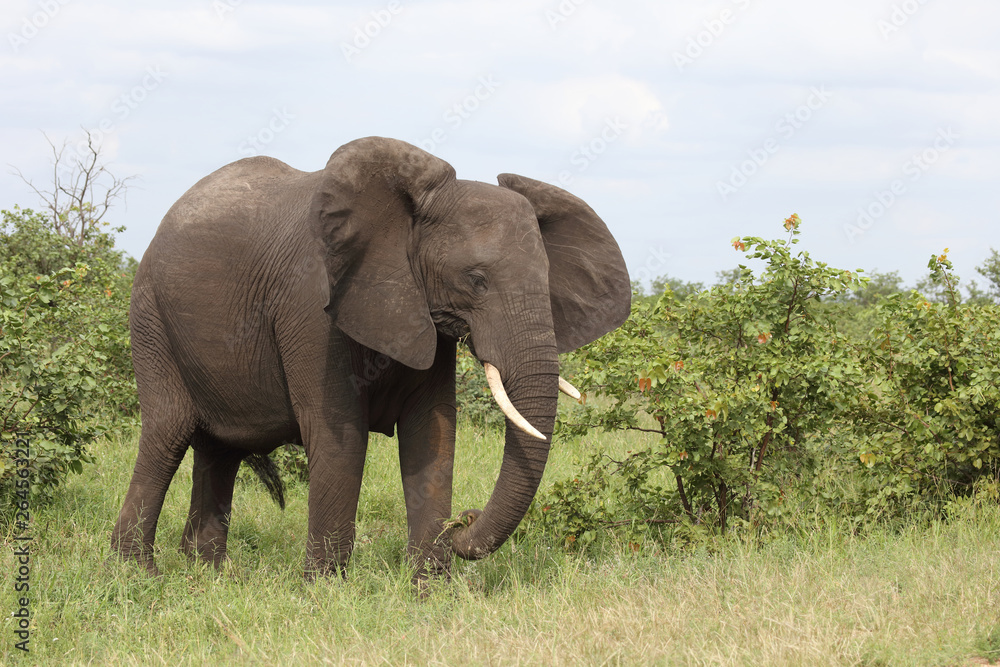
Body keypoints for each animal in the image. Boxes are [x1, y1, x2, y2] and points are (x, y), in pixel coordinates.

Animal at [111, 136, 630, 583]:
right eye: (476, 280)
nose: (465, 520)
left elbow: (433, 430)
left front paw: (429, 591)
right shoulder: (311, 306)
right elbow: (340, 434)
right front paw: (324, 590)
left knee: (220, 450)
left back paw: (210, 575)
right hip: (150, 319)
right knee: (168, 432)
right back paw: (139, 575)